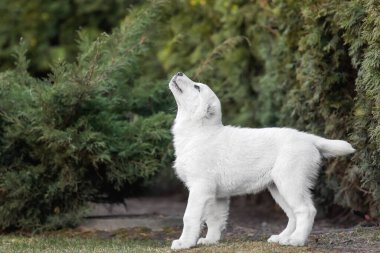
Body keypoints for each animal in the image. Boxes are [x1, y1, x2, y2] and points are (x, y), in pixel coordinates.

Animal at [168, 72, 354, 250]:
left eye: (197, 87)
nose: (179, 72)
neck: (199, 131)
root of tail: (308, 138)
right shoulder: (217, 195)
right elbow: (214, 219)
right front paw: (210, 240)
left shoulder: (200, 187)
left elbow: (189, 217)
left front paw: (184, 243)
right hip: (277, 187)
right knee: (292, 214)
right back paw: (282, 238)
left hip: (290, 181)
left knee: (306, 210)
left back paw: (296, 240)